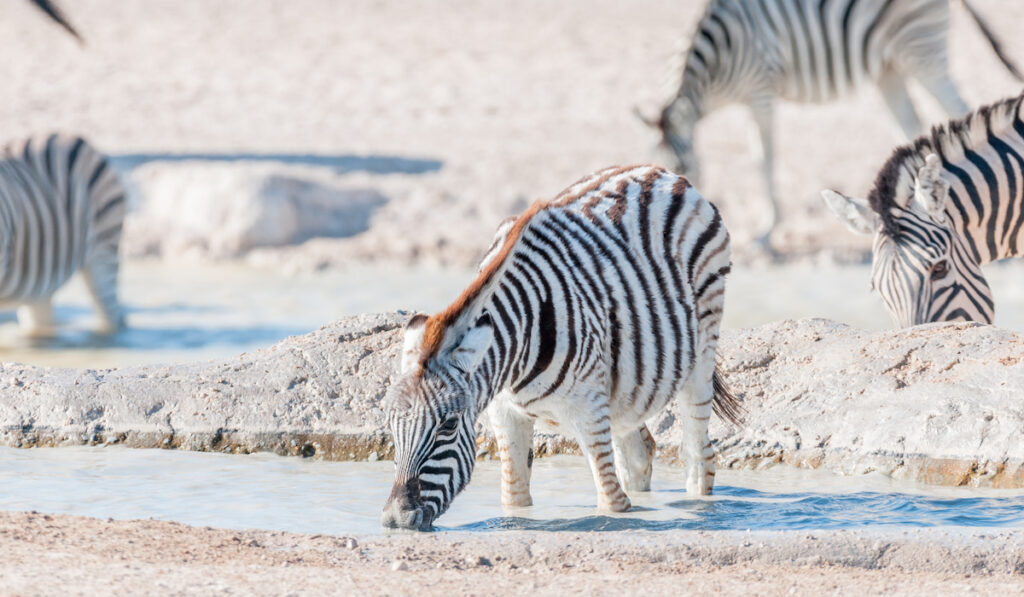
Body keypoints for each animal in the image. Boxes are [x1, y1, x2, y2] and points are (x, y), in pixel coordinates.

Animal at [380, 164, 741, 532]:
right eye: (390, 426)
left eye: (449, 425)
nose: (397, 519)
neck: (513, 360)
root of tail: (662, 172)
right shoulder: (504, 412)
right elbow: (515, 500)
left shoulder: (590, 409)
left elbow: (613, 505)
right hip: (626, 386)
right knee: (639, 453)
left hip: (702, 346)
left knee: (698, 455)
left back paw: (702, 511)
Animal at [643, 0, 1019, 248]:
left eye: (683, 168)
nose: (660, 232)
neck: (717, 62)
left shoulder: (760, 90)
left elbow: (764, 158)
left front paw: (767, 230)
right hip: (890, 65)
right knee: (911, 124)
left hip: (922, 49)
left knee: (961, 110)